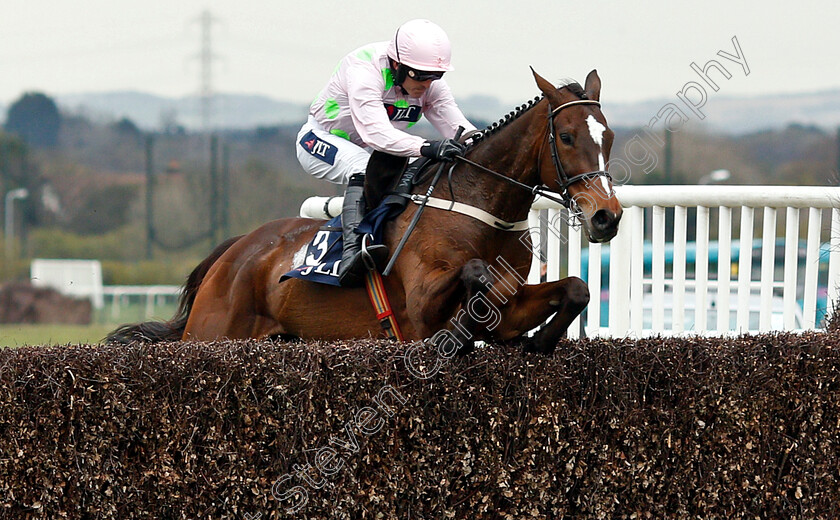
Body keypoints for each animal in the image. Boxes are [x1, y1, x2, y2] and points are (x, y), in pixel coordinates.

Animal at [108, 68, 624, 354]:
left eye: (610, 137)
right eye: (566, 137)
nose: (606, 215)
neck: (479, 207)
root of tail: (236, 251)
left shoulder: (512, 306)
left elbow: (576, 288)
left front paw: (538, 341)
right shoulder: (421, 307)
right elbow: (474, 273)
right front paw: (459, 339)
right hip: (213, 333)